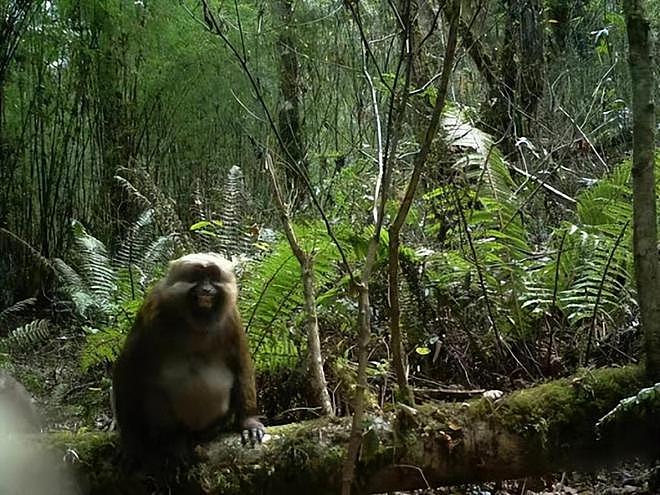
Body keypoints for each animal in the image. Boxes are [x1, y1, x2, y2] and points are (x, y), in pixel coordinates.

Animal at [112, 254, 264, 466]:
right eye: (198, 276)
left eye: (213, 276)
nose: (206, 289)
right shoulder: (152, 308)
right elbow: (128, 368)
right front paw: (131, 441)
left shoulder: (232, 318)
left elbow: (241, 364)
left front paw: (248, 421)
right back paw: (171, 439)